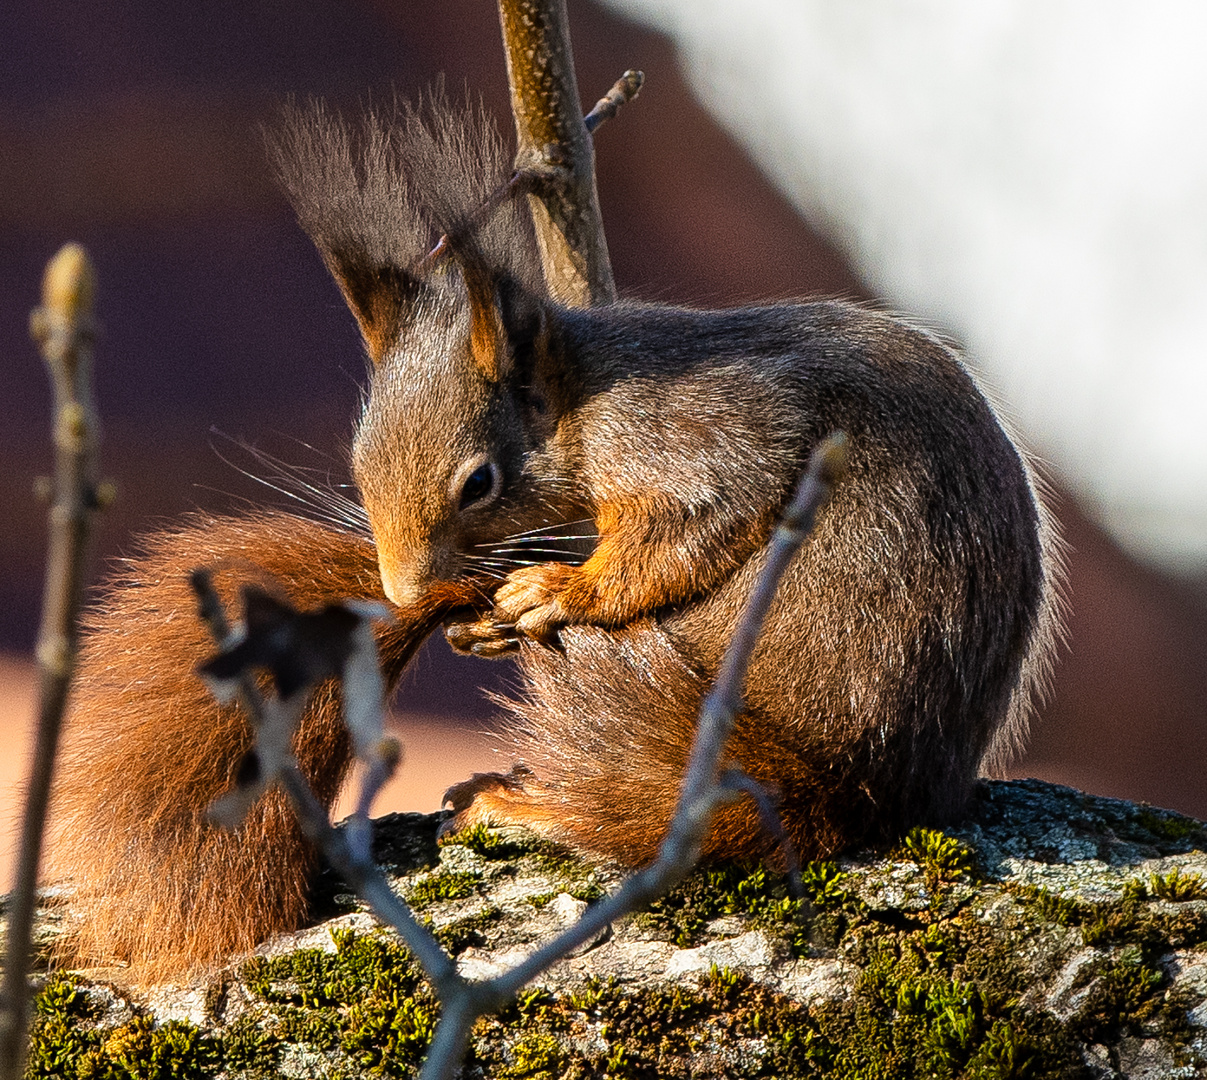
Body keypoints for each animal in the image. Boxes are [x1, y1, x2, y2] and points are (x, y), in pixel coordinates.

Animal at [49, 97, 1057, 979]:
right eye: (357, 458)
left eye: (479, 483)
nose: (406, 592)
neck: (582, 398)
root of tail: (860, 788)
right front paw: (482, 622)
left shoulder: (701, 438)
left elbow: (692, 523)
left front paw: (555, 591)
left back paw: (523, 798)